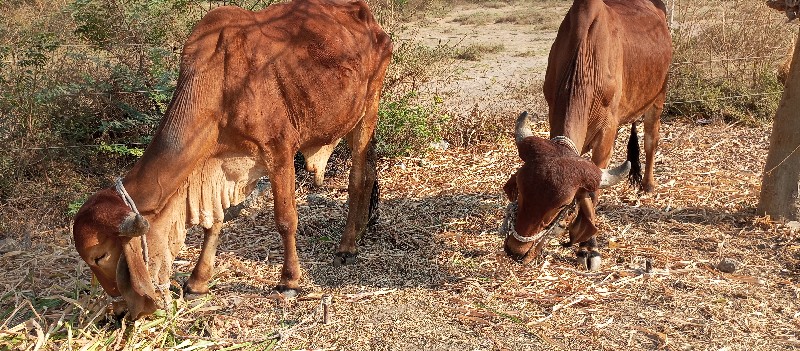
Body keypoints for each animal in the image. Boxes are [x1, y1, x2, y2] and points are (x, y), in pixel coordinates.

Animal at [71, 0, 394, 320]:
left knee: (359, 178)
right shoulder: (216, 165)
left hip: (369, 106)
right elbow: (213, 223)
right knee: (369, 171)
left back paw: (347, 246)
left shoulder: (280, 151)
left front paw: (289, 281)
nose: (117, 309)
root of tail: (368, 17)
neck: (218, 81)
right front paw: (197, 282)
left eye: (99, 256)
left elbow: (285, 219)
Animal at [504, 0, 672, 270]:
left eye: (563, 205)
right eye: (519, 187)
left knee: (650, 141)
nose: (516, 250)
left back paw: (647, 185)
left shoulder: (606, 134)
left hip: (658, 98)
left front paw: (589, 248)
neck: (586, 61)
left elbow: (592, 194)